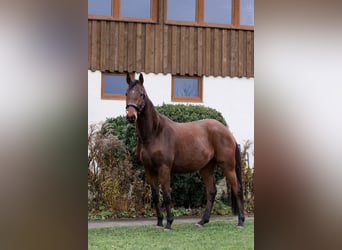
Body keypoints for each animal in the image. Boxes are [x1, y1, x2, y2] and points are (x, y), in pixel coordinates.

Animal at [125, 73, 243, 230]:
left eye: (141, 94)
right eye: (126, 93)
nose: (131, 116)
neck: (155, 133)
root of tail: (228, 132)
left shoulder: (164, 168)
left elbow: (167, 195)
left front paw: (169, 223)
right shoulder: (149, 168)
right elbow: (156, 196)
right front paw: (159, 222)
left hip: (228, 166)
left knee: (237, 189)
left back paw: (241, 221)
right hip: (207, 167)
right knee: (211, 192)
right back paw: (202, 221)